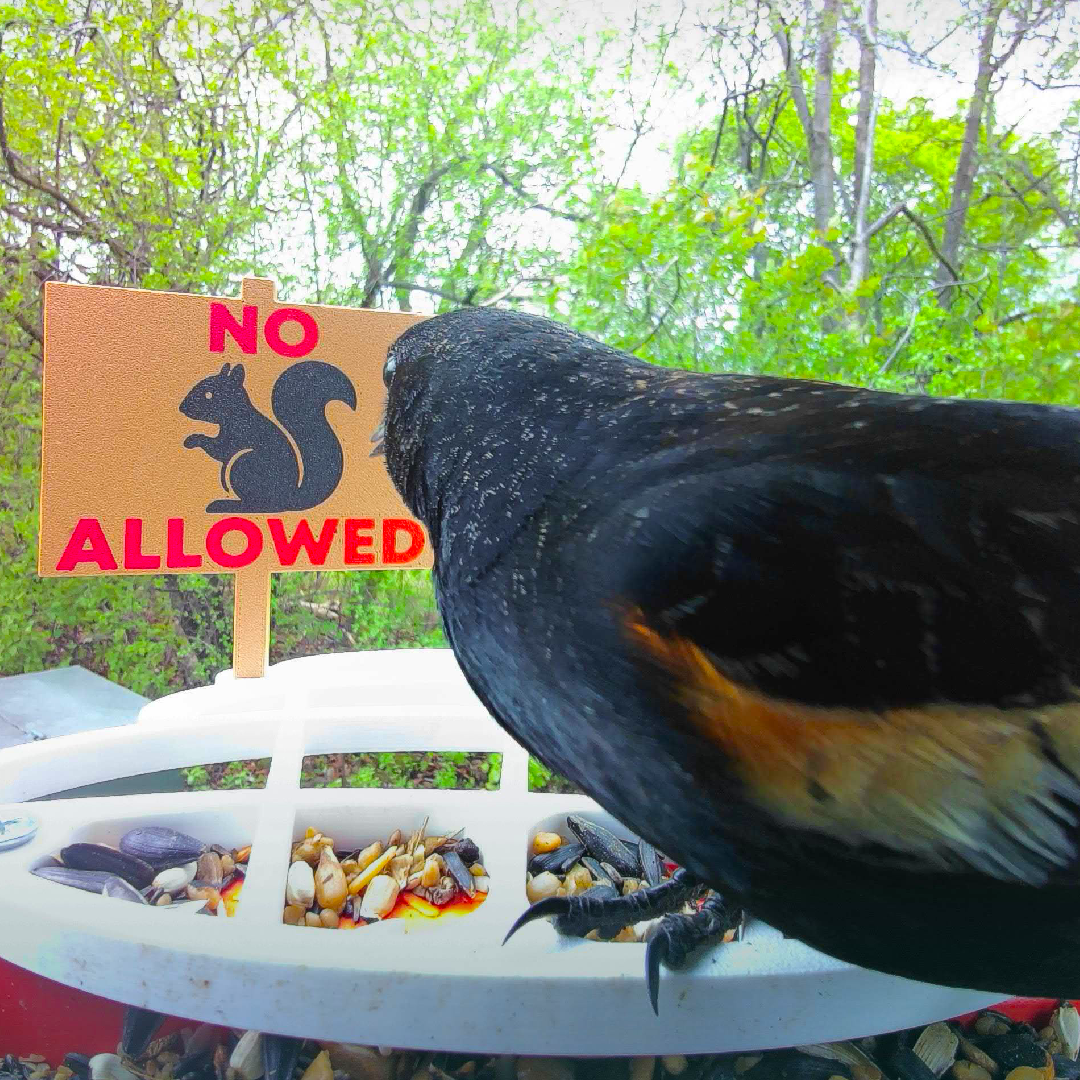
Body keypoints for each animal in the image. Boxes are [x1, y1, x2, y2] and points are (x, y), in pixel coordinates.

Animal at [180, 360, 357, 513]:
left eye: (209, 394)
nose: (182, 408)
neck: (236, 414)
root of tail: (290, 499)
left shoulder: (240, 434)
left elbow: (220, 450)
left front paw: (193, 439)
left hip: (244, 464)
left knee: (260, 506)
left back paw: (226, 505)